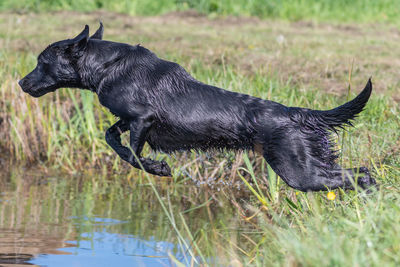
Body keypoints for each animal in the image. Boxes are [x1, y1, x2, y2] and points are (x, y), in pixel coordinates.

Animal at [18, 24, 376, 193]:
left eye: (41, 61)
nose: (21, 82)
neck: (107, 66)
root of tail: (296, 113)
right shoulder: (128, 119)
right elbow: (111, 136)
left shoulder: (143, 117)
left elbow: (132, 155)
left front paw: (158, 168)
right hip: (308, 166)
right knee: (362, 173)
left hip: (298, 171)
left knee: (358, 176)